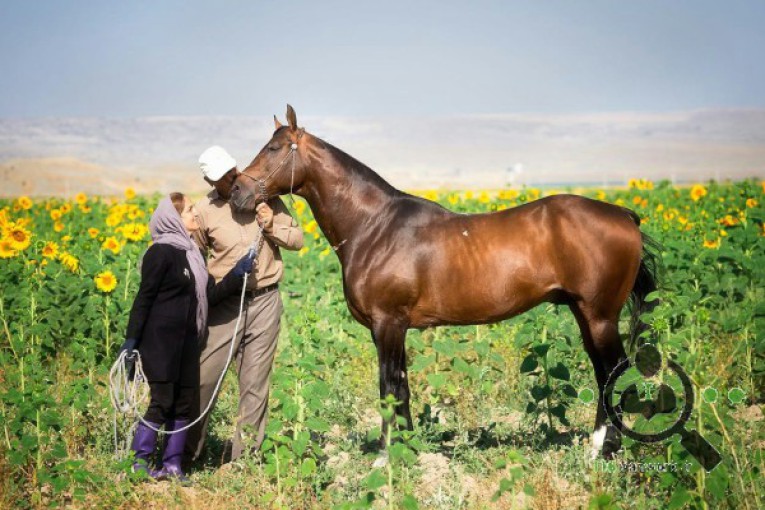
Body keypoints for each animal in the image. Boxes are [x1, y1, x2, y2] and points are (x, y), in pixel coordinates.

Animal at [230, 104, 660, 458]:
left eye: (274, 148)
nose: (236, 191)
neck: (375, 226)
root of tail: (623, 214)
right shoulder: (390, 328)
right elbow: (402, 386)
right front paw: (407, 449)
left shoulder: (388, 323)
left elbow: (389, 387)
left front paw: (387, 456)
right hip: (584, 314)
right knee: (604, 371)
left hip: (600, 315)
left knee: (615, 369)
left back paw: (604, 449)